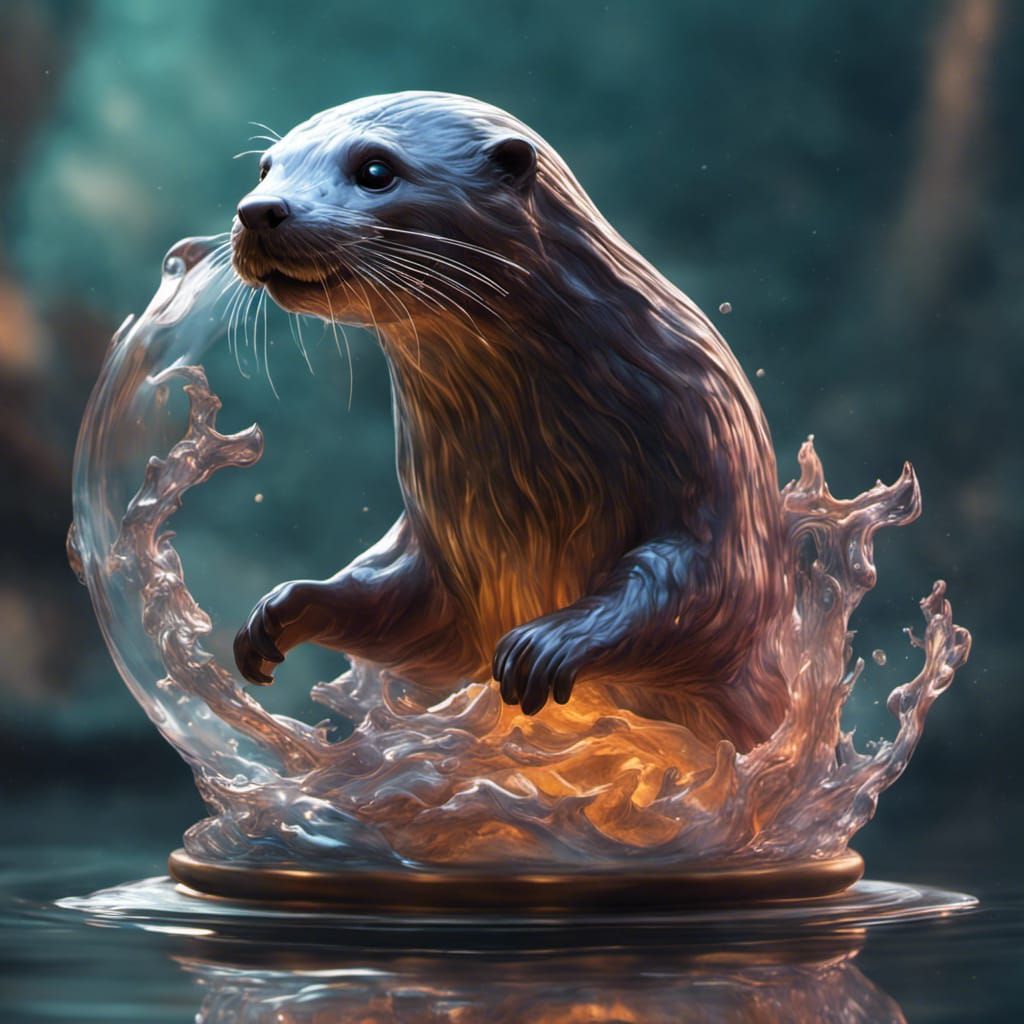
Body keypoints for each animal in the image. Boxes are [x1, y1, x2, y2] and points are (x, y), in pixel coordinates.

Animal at [230, 92, 790, 751]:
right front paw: (280, 611)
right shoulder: (443, 548)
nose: (259, 210)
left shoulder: (710, 443)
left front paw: (549, 641)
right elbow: (413, 614)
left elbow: (712, 593)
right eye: (265, 168)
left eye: (375, 169)